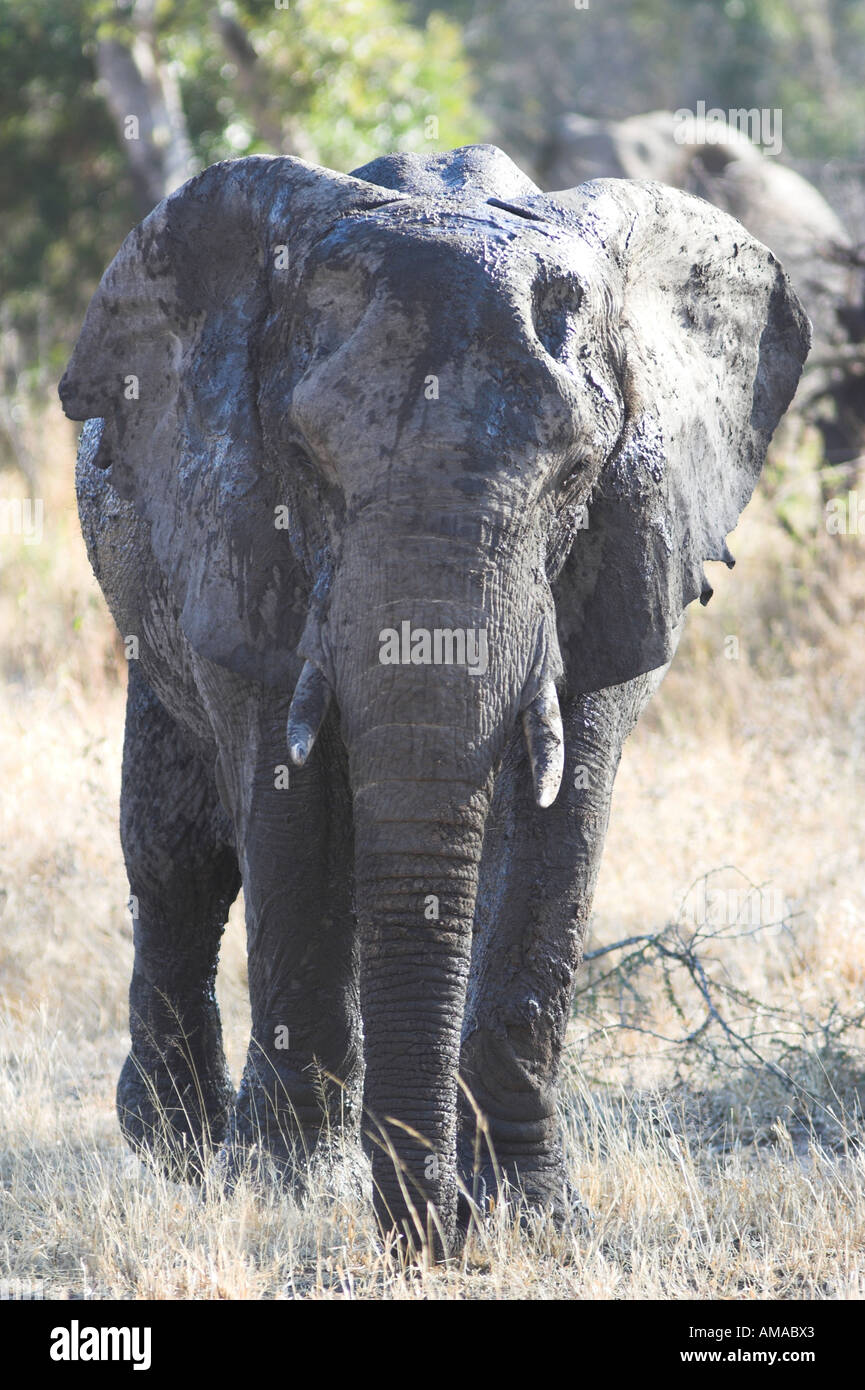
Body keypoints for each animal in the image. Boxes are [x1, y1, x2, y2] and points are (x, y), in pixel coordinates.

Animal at [59, 143, 809, 1255]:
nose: (442, 1227)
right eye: (305, 461)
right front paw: (283, 1190)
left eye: (575, 472)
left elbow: (558, 826)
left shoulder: (629, 546)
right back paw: (174, 1148)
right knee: (177, 857)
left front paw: (533, 1218)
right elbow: (288, 823)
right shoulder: (237, 532)